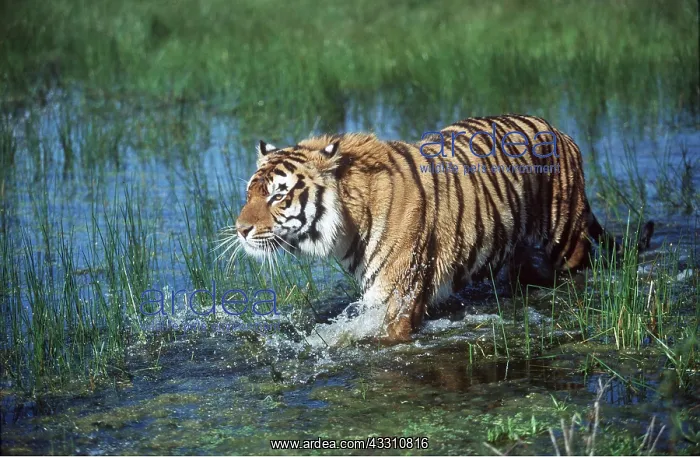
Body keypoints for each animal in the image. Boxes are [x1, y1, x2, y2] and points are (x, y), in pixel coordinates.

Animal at [229, 114, 654, 343]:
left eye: (279, 195)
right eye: (250, 192)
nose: (240, 230)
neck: (347, 225)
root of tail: (560, 131)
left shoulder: (399, 299)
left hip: (566, 239)